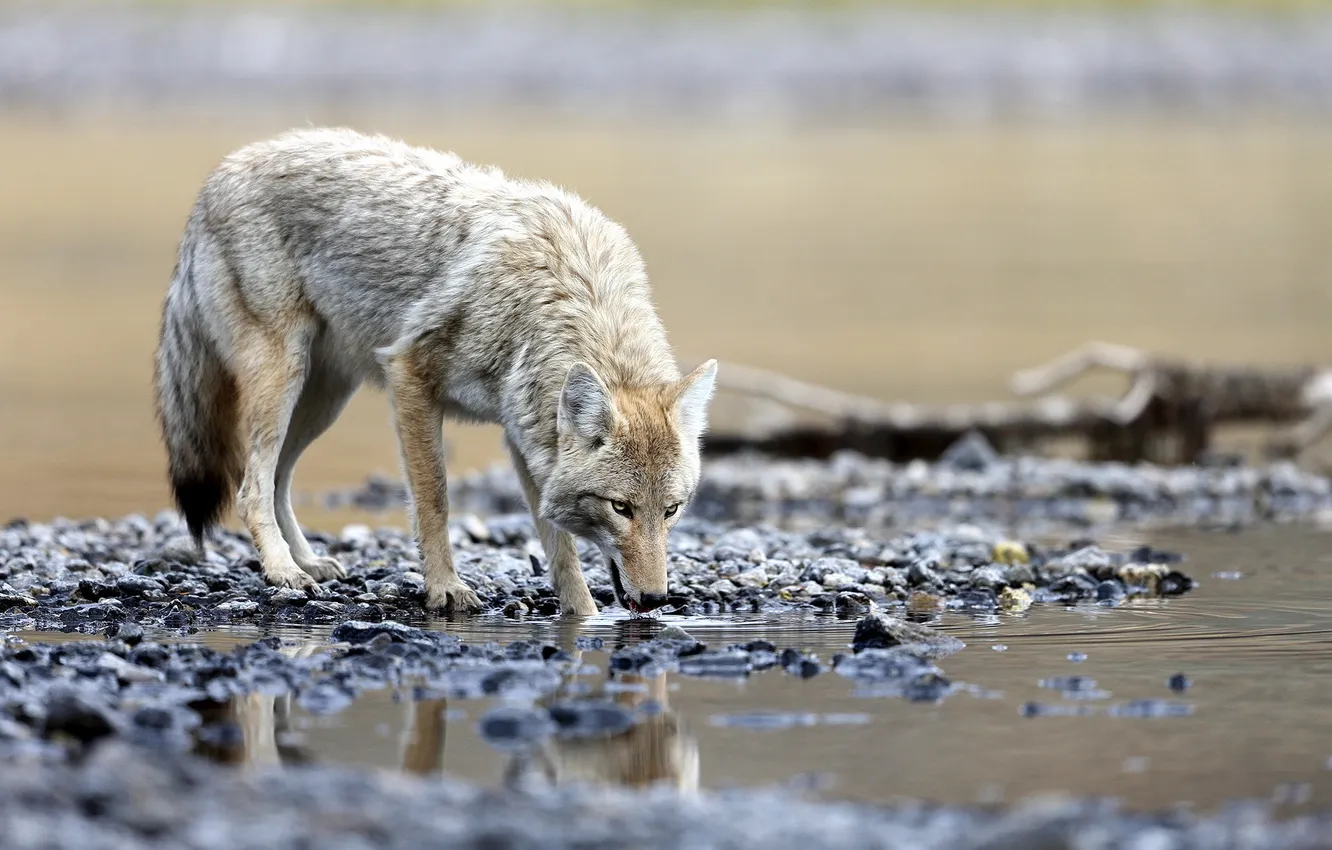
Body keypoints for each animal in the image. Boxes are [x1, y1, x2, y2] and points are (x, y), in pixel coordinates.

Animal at [153, 127, 718, 617]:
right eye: (621, 508)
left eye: (671, 510)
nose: (656, 600)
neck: (560, 298)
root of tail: (222, 171)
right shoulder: (410, 378)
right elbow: (435, 501)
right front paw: (445, 588)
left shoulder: (525, 435)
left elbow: (558, 546)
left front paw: (584, 617)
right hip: (284, 382)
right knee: (251, 487)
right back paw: (283, 570)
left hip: (322, 402)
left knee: (277, 480)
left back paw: (307, 561)